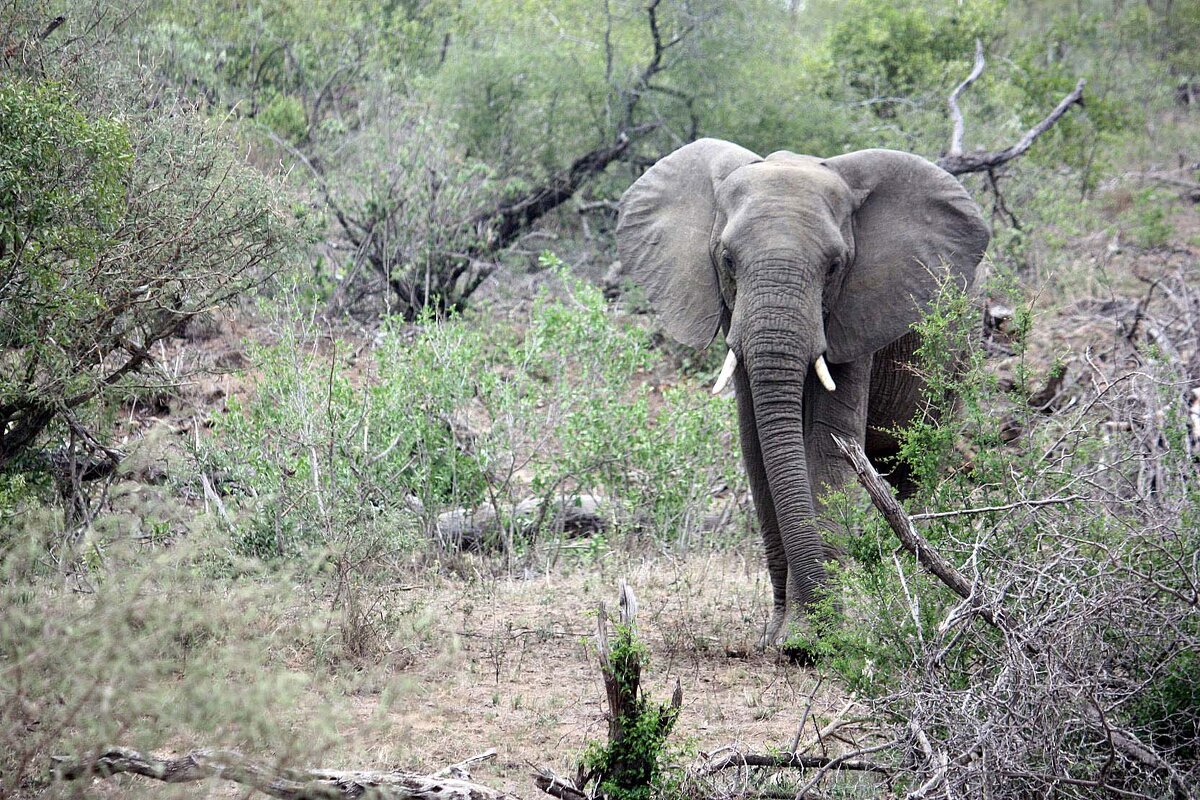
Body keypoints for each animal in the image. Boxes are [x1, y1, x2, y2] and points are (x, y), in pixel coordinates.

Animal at [614, 139, 988, 642]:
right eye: (727, 260)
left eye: (834, 267)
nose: (809, 632)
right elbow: (757, 451)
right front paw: (778, 637)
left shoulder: (855, 312)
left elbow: (826, 448)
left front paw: (811, 640)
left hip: (960, 348)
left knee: (916, 462)